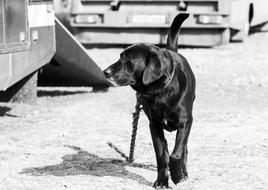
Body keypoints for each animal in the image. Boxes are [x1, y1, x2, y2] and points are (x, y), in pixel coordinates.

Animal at [103, 13, 196, 189]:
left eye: (127, 59)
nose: (105, 72)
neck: (161, 91)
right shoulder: (155, 126)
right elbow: (161, 155)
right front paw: (162, 180)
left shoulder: (185, 122)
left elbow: (176, 153)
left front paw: (177, 175)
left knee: (184, 148)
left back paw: (184, 172)